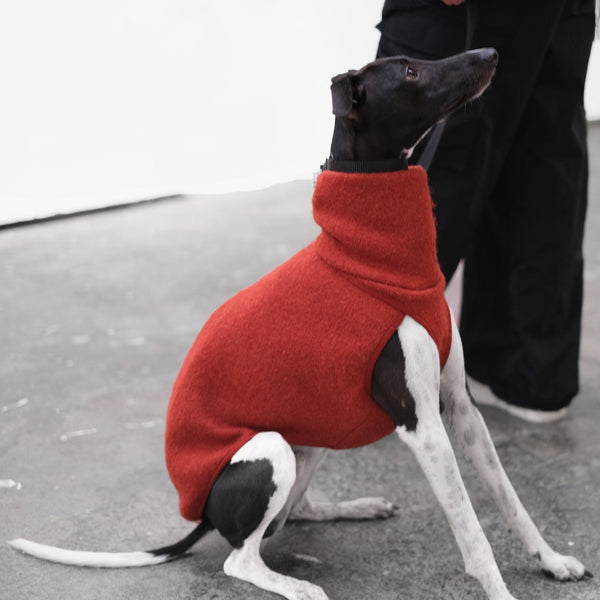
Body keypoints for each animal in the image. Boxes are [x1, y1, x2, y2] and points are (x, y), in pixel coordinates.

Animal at [9, 48, 592, 600]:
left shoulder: (460, 407)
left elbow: (510, 497)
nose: (491, 54)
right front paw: (500, 589)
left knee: (292, 516)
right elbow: (471, 529)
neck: (375, 259)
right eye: (409, 71)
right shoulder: (422, 425)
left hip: (309, 440)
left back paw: (354, 507)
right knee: (241, 557)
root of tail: (201, 514)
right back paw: (296, 585)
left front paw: (552, 560)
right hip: (270, 451)